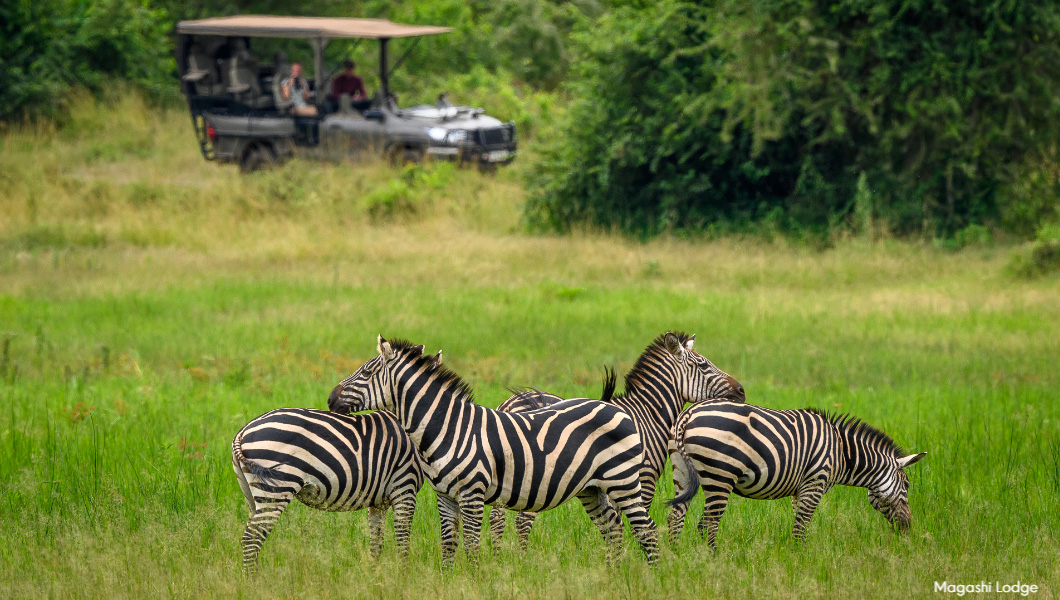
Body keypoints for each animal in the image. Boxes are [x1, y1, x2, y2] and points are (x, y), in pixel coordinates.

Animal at [234, 400, 428, 572]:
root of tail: (243, 431)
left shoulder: (379, 502)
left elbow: (376, 544)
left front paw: (376, 579)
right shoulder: (404, 486)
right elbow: (403, 541)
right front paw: (403, 578)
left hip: (252, 494)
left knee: (248, 538)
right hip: (275, 489)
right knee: (252, 539)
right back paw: (252, 582)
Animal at [328, 339, 661, 568]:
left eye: (366, 371)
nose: (330, 398)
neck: (448, 427)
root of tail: (613, 407)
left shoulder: (472, 493)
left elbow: (472, 545)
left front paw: (475, 581)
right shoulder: (445, 496)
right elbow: (449, 543)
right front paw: (447, 581)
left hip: (623, 480)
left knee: (647, 530)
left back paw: (653, 576)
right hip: (591, 488)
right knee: (614, 528)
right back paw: (612, 575)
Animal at [489, 334, 746, 551]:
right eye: (704, 366)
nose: (742, 391)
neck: (647, 414)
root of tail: (510, 404)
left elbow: (617, 522)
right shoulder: (643, 477)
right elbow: (636, 522)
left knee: (496, 519)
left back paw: (498, 559)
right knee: (522, 520)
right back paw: (523, 559)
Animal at [669, 402, 928, 551]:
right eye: (906, 486)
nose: (908, 528)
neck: (842, 452)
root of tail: (688, 413)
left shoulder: (800, 488)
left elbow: (798, 521)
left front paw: (798, 556)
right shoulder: (815, 483)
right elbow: (801, 524)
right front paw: (802, 559)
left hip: (682, 472)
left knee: (675, 516)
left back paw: (676, 556)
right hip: (720, 476)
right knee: (707, 524)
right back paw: (716, 559)